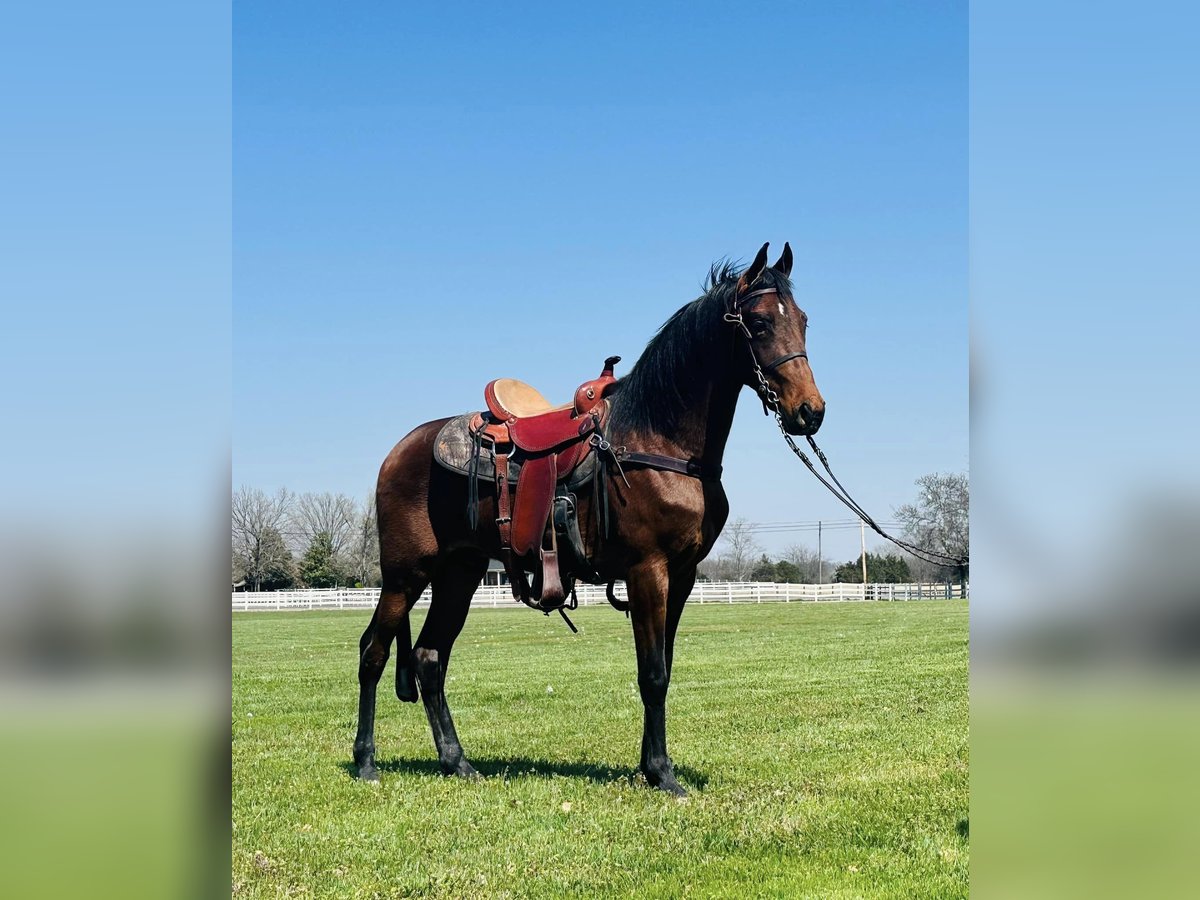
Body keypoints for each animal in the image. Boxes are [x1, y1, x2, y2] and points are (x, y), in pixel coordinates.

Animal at [352, 241, 825, 796]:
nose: (810, 411)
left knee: (428, 658)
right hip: (405, 574)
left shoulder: (683, 576)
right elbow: (653, 675)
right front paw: (663, 773)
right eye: (759, 323)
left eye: (803, 320)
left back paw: (457, 761)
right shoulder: (648, 571)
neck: (658, 440)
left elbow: (664, 667)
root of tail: (399, 451)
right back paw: (366, 762)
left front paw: (650, 766)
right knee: (373, 652)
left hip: (459, 574)